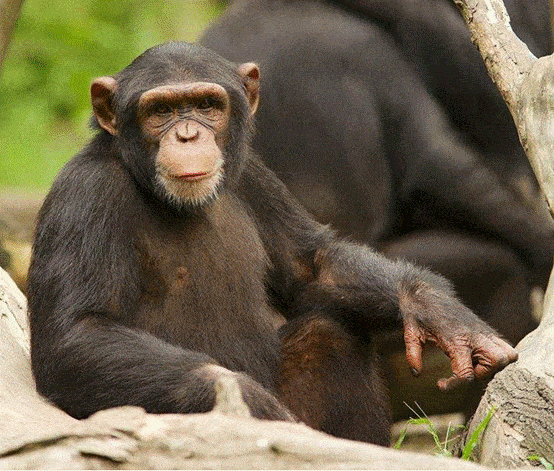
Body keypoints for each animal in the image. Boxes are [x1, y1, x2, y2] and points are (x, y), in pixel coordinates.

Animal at [28, 41, 516, 446]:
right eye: (160, 111)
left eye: (207, 105)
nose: (187, 135)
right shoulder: (85, 197)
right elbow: (79, 334)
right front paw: (249, 402)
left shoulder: (253, 175)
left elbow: (310, 265)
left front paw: (437, 310)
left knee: (327, 335)